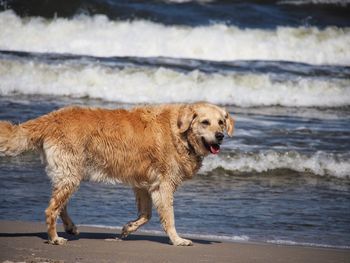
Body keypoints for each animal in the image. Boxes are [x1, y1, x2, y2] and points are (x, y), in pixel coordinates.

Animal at [0, 102, 235, 246]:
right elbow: (169, 217)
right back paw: (55, 238)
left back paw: (70, 227)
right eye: (205, 122)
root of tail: (51, 118)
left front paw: (128, 228)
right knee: (51, 210)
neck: (180, 133)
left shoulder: (144, 184)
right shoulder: (164, 185)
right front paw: (177, 240)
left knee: (60, 205)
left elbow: (146, 214)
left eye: (221, 122)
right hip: (70, 174)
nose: (220, 135)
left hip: (69, 173)